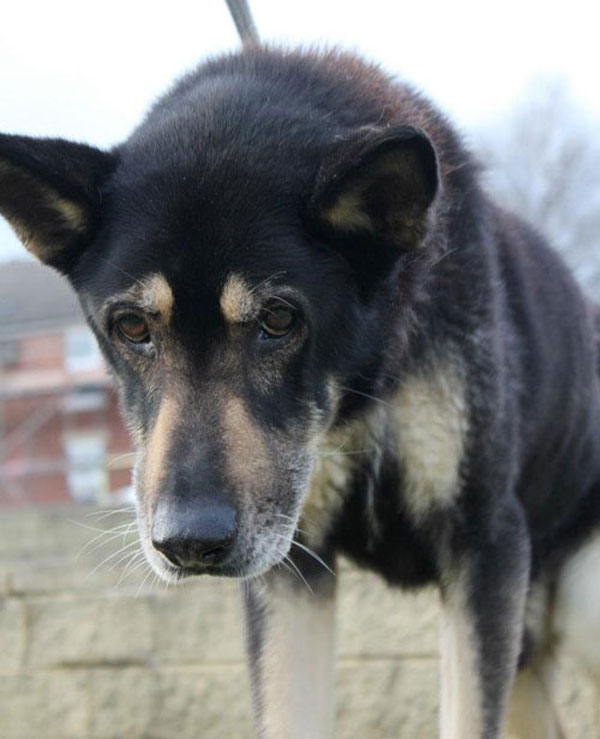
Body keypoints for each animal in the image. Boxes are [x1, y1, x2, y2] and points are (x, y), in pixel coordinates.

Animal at [1, 46, 600, 739]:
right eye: (132, 327)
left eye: (279, 319)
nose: (189, 544)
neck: (362, 390)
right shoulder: (294, 571)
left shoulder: (482, 544)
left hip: (579, 603)